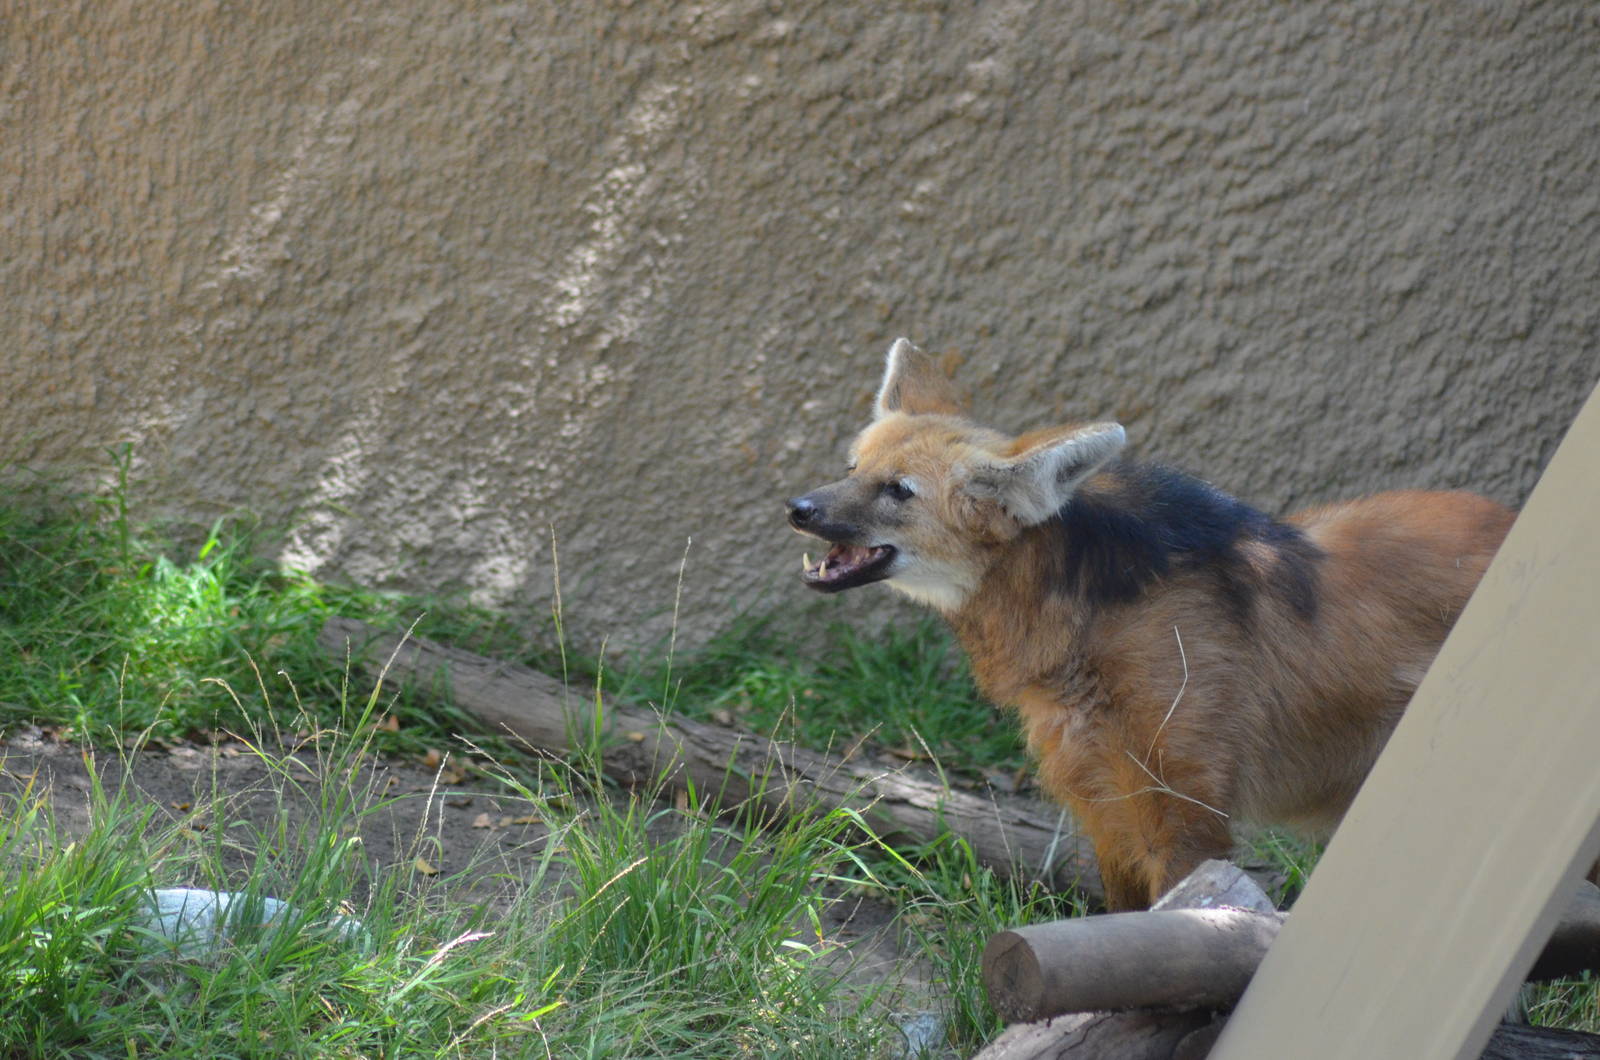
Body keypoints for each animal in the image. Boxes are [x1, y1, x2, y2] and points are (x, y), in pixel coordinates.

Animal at [786, 338, 1516, 910]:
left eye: (898, 491)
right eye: (852, 468)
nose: (798, 507)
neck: (1088, 626)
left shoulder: (1185, 814)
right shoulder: (1106, 808)